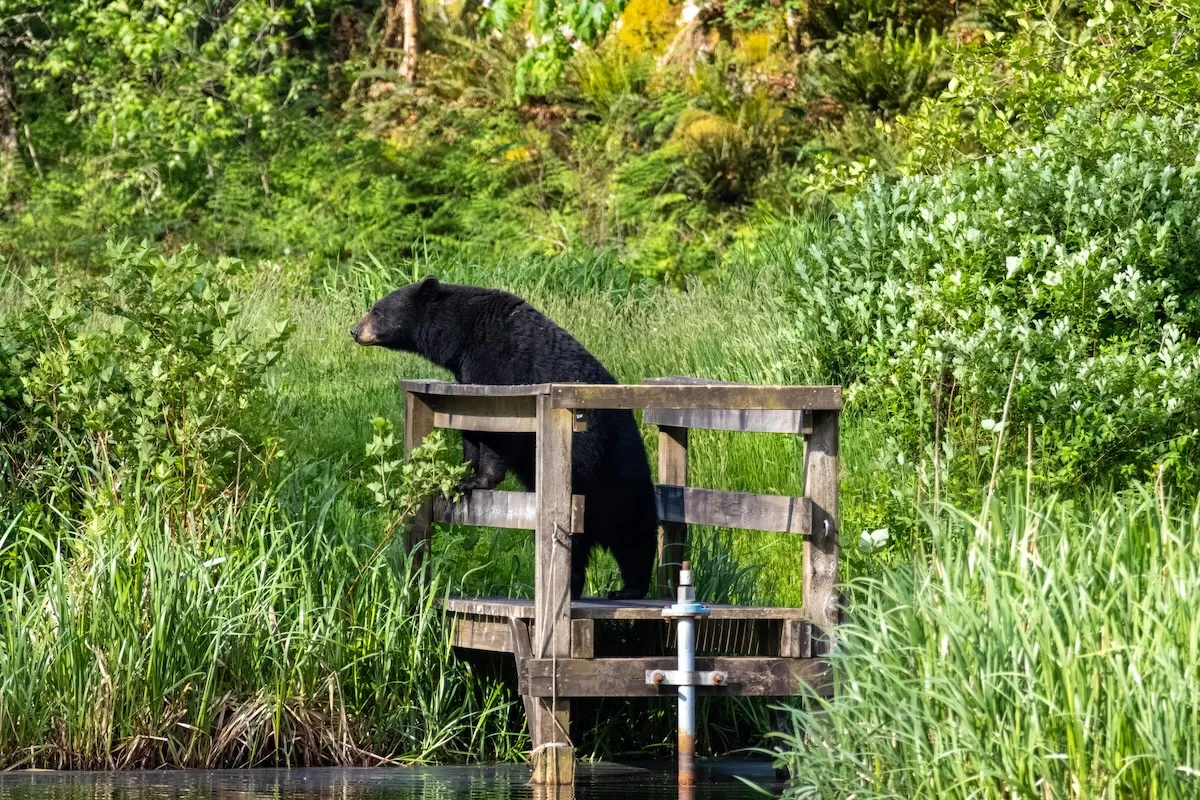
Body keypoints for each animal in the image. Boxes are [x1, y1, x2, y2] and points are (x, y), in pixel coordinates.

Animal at [351, 276, 658, 600]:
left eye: (377, 310)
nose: (355, 331)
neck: (464, 335)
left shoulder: (502, 365)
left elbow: (500, 430)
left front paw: (479, 480)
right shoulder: (467, 381)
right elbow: (470, 427)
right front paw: (462, 477)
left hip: (616, 474)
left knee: (635, 537)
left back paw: (630, 588)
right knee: (578, 550)